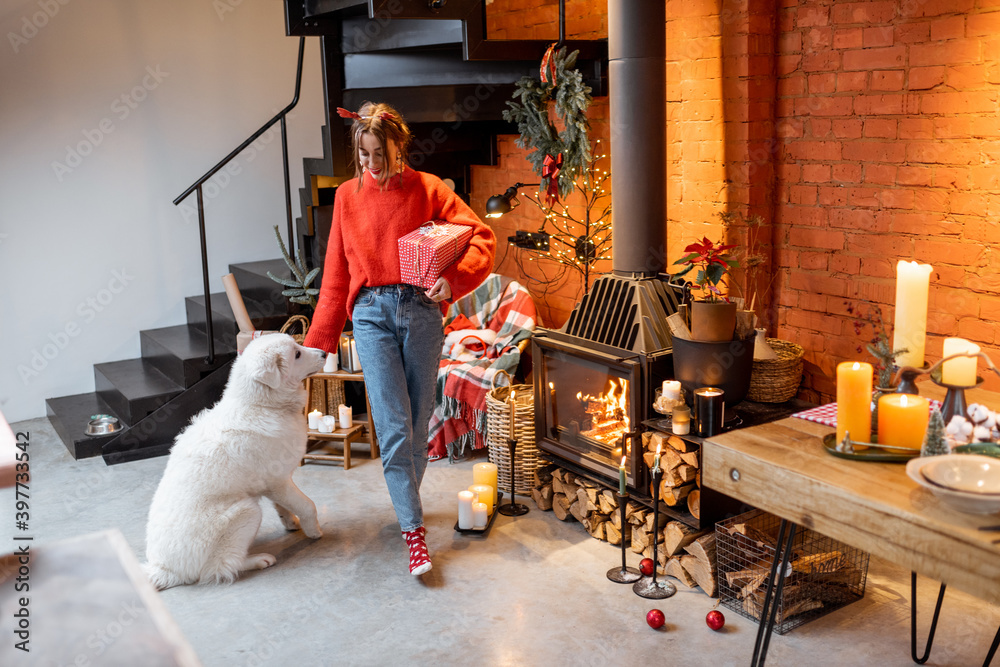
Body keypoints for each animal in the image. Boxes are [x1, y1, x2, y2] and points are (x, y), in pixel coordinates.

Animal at [143, 334, 324, 588]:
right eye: (297, 354)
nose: (324, 353)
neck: (260, 405)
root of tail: (163, 569)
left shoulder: (272, 485)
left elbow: (283, 505)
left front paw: (291, 522)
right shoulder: (278, 480)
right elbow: (307, 505)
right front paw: (314, 531)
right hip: (247, 511)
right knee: (219, 568)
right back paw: (259, 560)